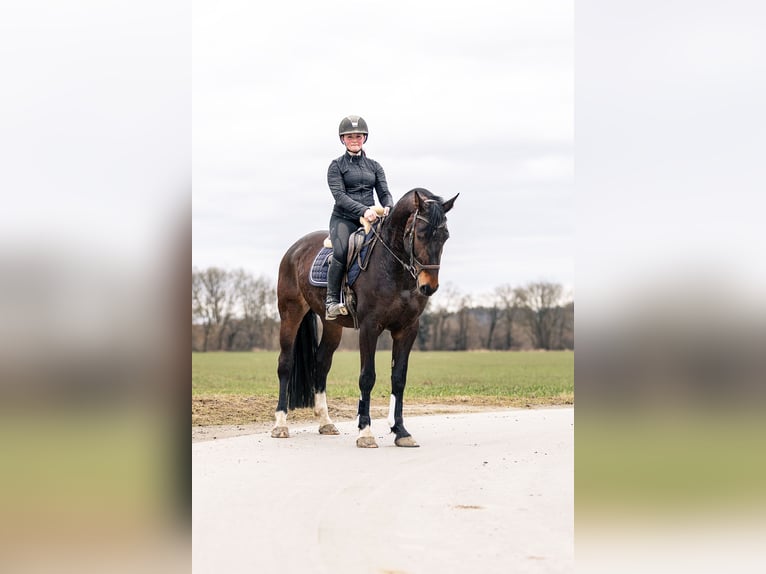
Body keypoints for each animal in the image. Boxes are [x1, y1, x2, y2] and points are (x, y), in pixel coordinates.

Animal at [272, 189, 460, 450]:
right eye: (421, 234)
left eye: (445, 236)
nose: (428, 286)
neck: (395, 270)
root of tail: (295, 249)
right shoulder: (370, 327)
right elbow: (367, 377)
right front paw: (365, 431)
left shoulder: (407, 329)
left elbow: (398, 379)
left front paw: (401, 431)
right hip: (290, 313)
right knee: (285, 364)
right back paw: (280, 424)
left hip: (332, 325)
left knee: (321, 364)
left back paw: (325, 422)